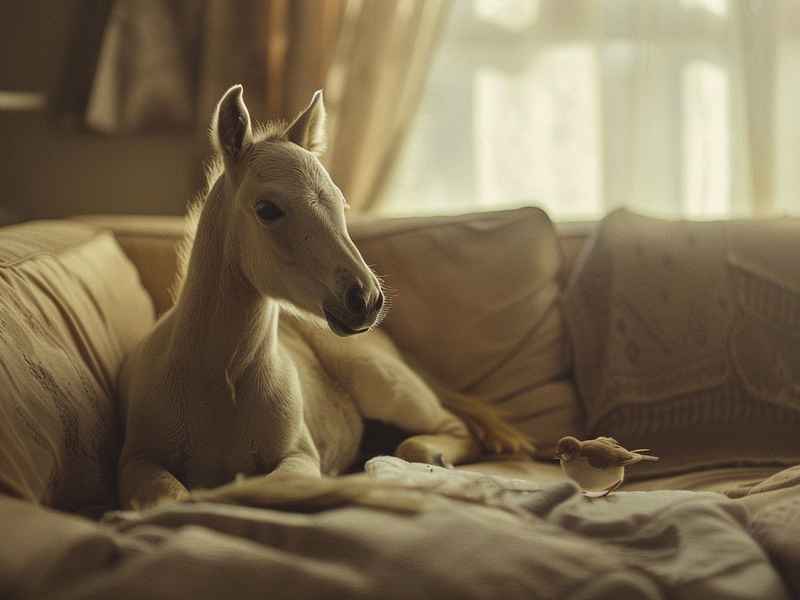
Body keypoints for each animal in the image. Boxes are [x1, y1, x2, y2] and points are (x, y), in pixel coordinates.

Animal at [117, 84, 532, 509]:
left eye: (341, 203)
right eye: (267, 208)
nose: (366, 299)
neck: (218, 381)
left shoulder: (299, 456)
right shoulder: (138, 460)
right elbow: (169, 498)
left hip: (384, 382)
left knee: (451, 429)